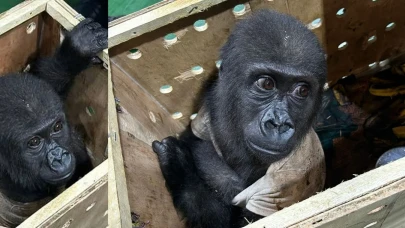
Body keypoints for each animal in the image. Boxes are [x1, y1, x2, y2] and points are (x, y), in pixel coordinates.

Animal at [153, 9, 326, 228]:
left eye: (302, 91)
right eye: (266, 84)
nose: (278, 124)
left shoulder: (292, 174)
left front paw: (179, 167)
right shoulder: (207, 111)